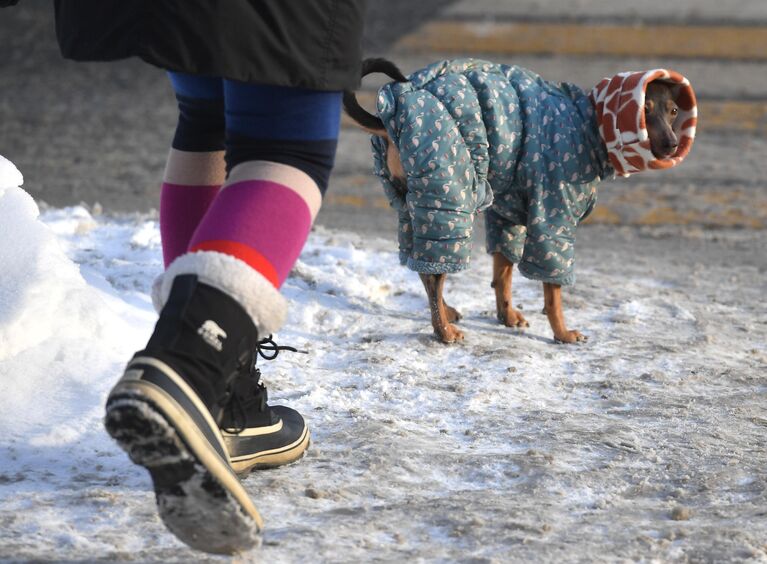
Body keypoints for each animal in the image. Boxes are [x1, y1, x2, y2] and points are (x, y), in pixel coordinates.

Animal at [342, 58, 696, 344]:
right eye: (644, 112)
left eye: (673, 112)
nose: (672, 144)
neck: (588, 124)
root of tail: (392, 115)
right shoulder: (553, 219)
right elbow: (552, 293)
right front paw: (562, 333)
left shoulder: (509, 215)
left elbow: (503, 273)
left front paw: (507, 315)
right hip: (450, 197)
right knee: (434, 273)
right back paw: (443, 332)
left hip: (414, 204)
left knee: (422, 265)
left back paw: (446, 311)